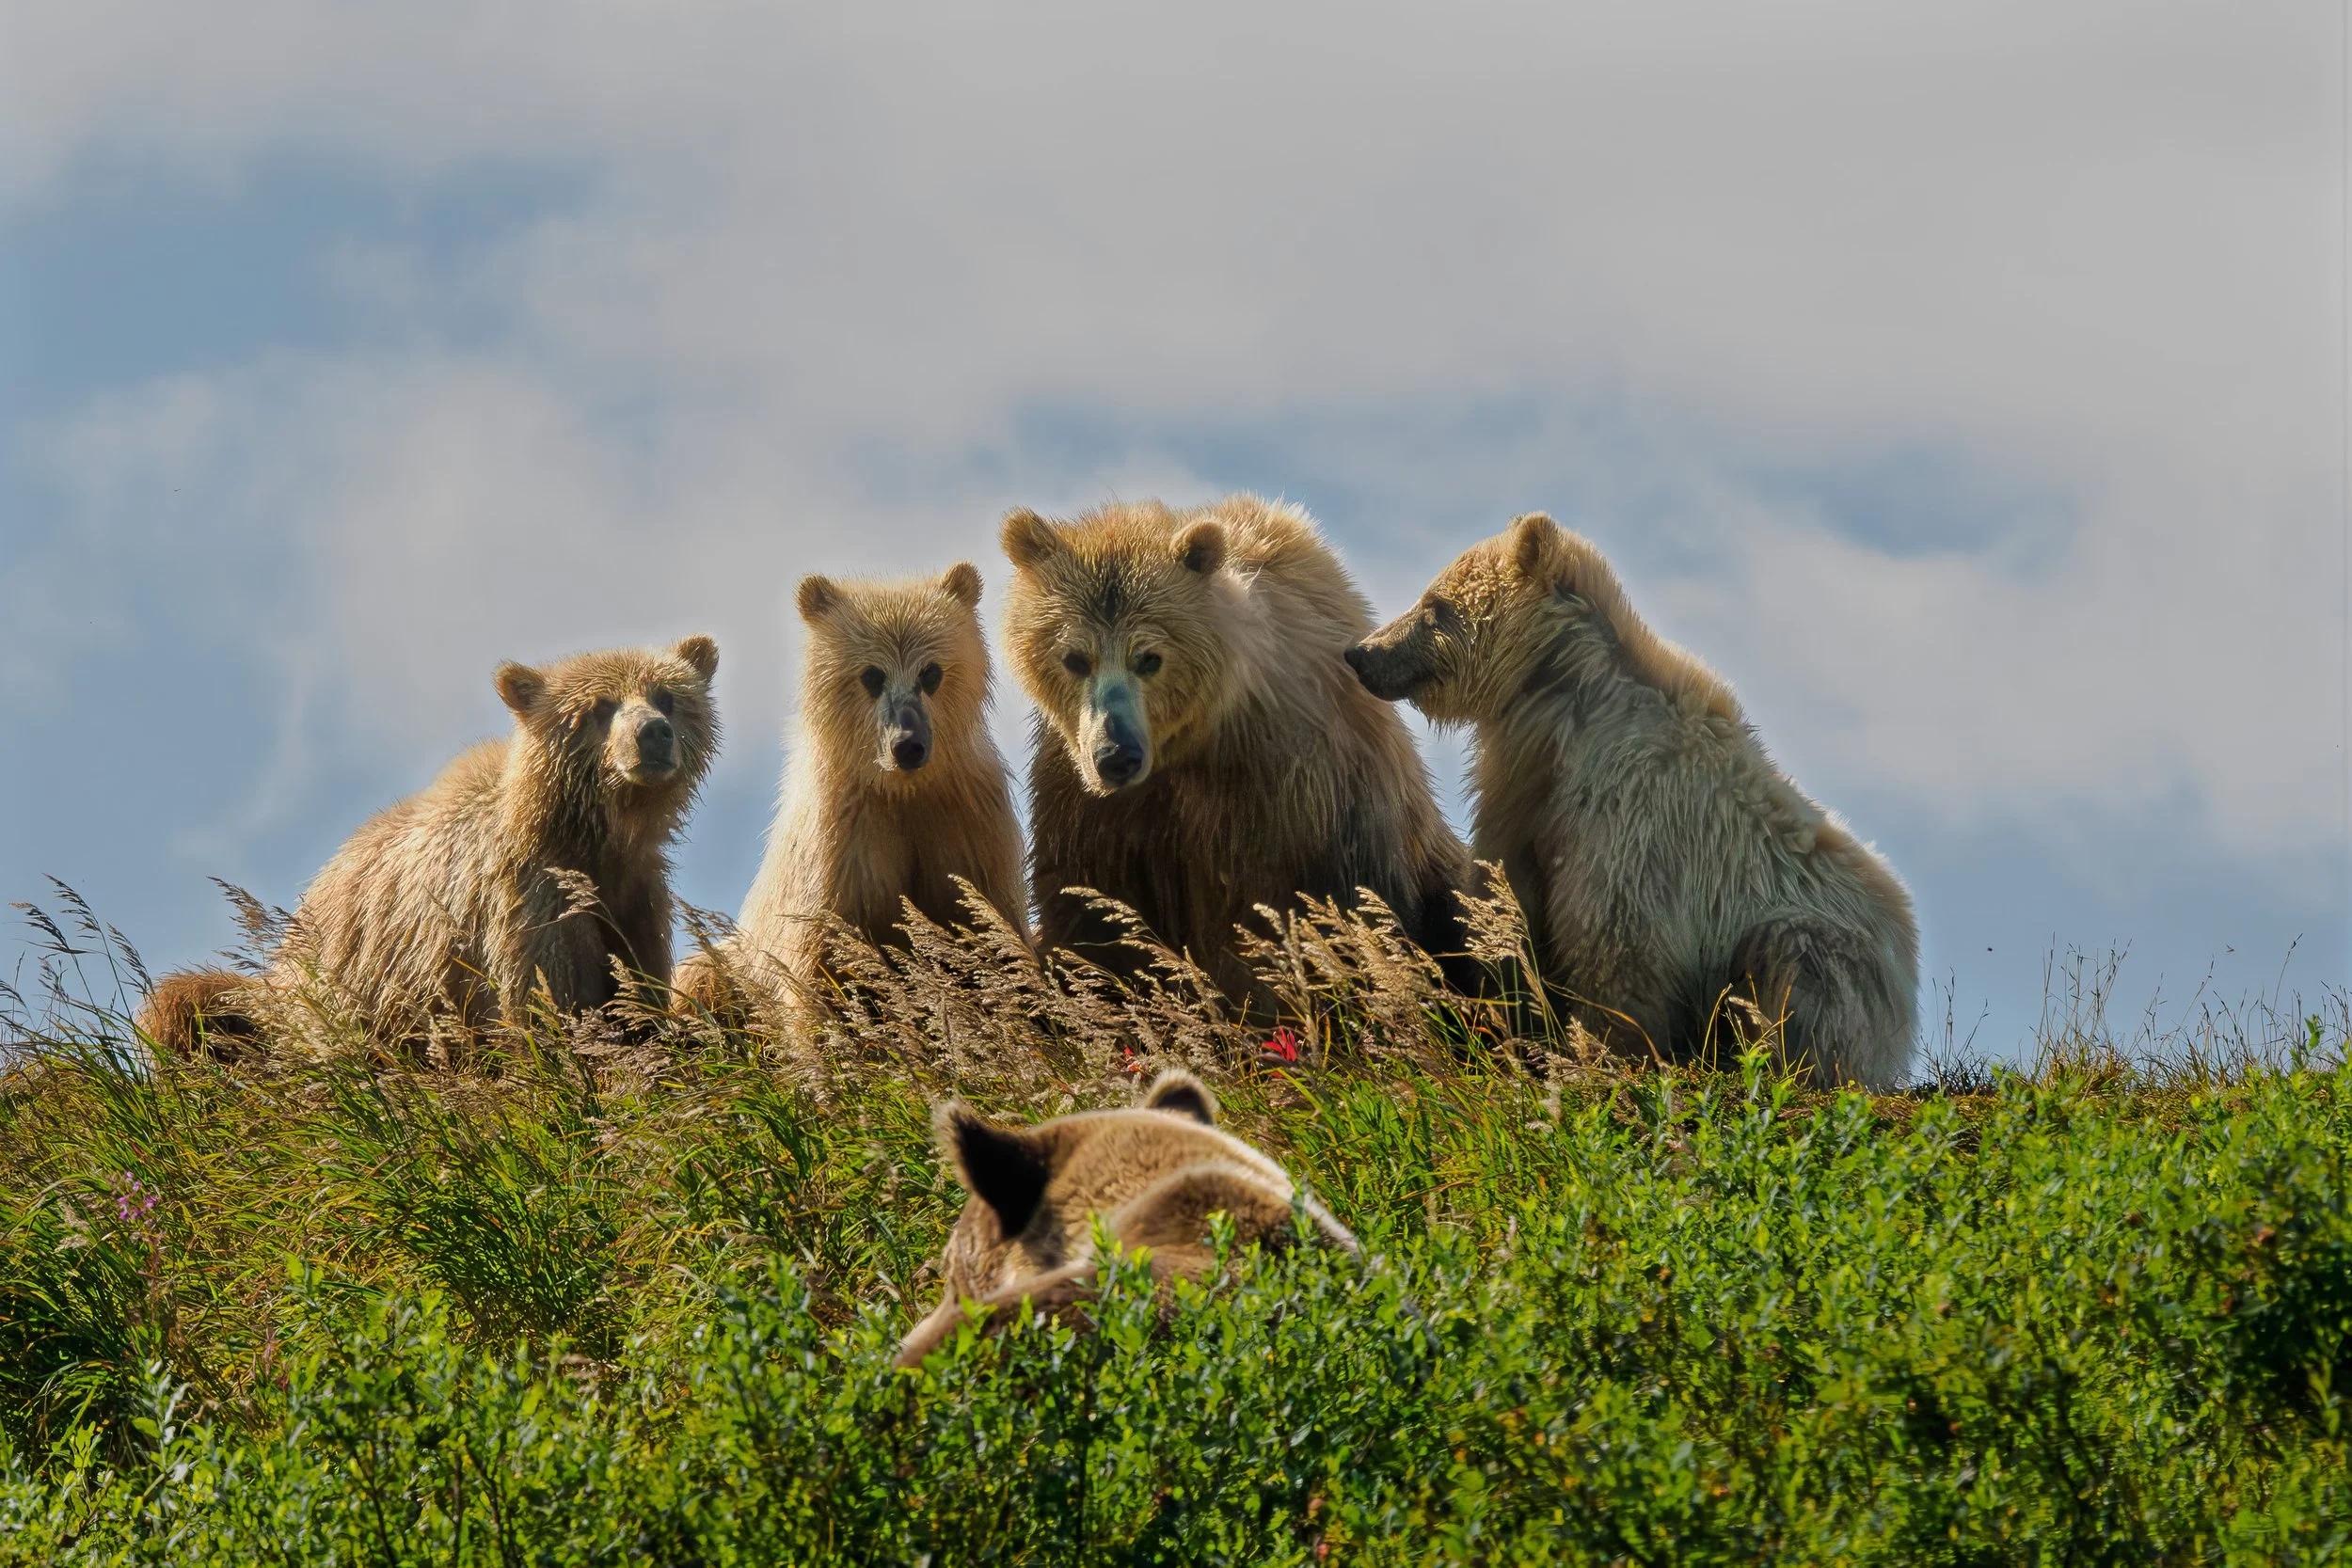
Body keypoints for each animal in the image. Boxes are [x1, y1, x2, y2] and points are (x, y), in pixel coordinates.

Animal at [139, 637, 720, 1059]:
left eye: (668, 696)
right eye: (600, 706)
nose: (653, 734)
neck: (590, 840)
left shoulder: (634, 897)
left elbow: (637, 989)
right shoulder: (530, 900)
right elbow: (550, 1003)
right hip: (356, 987)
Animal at [675, 564, 1027, 1017]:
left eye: (931, 672)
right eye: (872, 674)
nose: (908, 744)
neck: (900, 790)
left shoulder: (967, 823)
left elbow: (992, 933)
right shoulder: (842, 841)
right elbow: (821, 967)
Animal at [1000, 495, 1472, 1015]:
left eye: (1149, 657)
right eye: (1075, 658)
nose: (1117, 755)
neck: (1194, 744)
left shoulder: (1298, 788)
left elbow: (1320, 913)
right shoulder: (1090, 801)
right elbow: (1091, 910)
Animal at [1345, 513, 1918, 1089]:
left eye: (1433, 605)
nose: (1361, 653)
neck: (1562, 712)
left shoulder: (1628, 816)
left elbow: (1614, 945)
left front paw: (1606, 1052)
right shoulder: (1530, 801)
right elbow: (1510, 905)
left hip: (1823, 952)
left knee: (1784, 971)